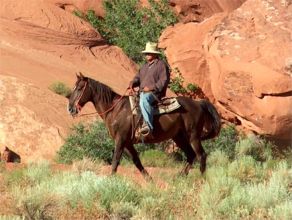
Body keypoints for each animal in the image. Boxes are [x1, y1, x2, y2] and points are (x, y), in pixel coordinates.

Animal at [67, 73, 220, 180]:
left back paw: (201, 179)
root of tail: (198, 103)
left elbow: (115, 160)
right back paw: (180, 177)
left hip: (193, 136)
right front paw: (149, 180)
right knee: (191, 155)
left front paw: (110, 180)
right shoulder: (128, 142)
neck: (115, 109)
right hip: (179, 137)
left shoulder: (120, 139)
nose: (70, 109)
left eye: (79, 88)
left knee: (201, 155)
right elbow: (136, 161)